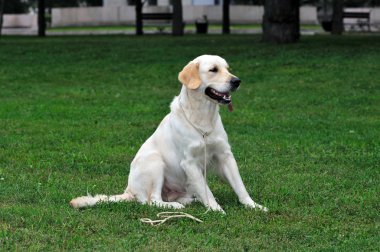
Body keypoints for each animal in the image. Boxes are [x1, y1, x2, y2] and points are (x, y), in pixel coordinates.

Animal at [70, 55, 268, 213]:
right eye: (213, 70)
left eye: (228, 68)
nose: (237, 81)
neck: (203, 119)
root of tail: (129, 190)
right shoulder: (189, 163)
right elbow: (208, 192)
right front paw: (216, 210)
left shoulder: (225, 155)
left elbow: (240, 186)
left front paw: (253, 205)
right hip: (155, 162)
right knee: (152, 200)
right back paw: (175, 206)